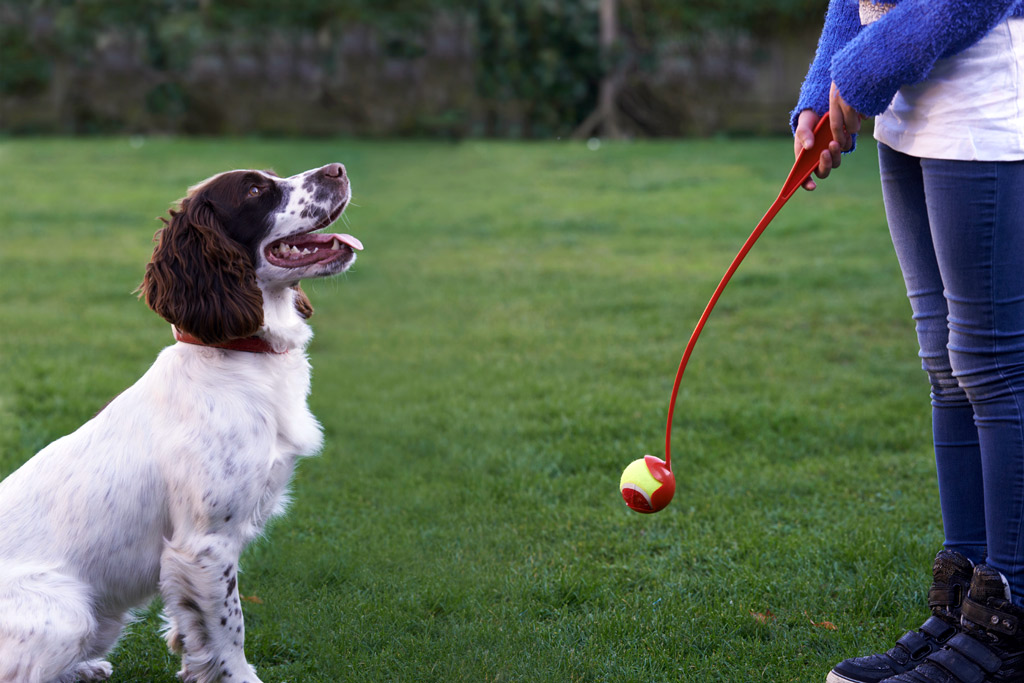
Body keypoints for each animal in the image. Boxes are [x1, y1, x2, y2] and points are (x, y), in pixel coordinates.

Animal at [0, 162, 364, 679]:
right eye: (256, 189)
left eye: (272, 175)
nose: (337, 169)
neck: (236, 355)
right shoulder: (205, 543)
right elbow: (230, 628)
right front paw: (239, 675)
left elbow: (195, 628)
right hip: (68, 614)